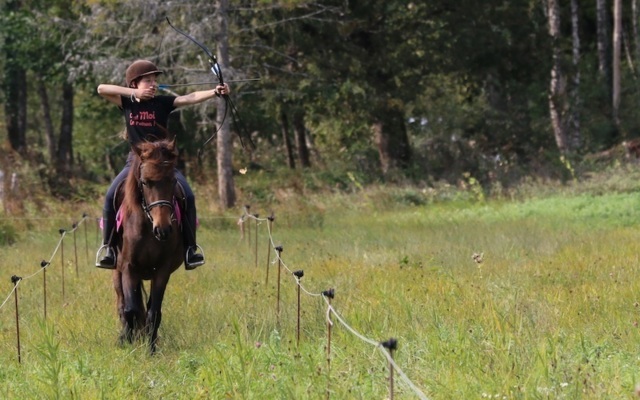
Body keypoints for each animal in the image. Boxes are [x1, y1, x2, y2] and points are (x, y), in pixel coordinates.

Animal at [110, 138, 182, 354]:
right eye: (145, 182)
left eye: (172, 181)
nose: (163, 229)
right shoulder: (128, 268)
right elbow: (130, 309)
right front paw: (128, 343)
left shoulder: (162, 270)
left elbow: (154, 311)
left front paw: (150, 349)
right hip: (117, 273)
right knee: (122, 305)